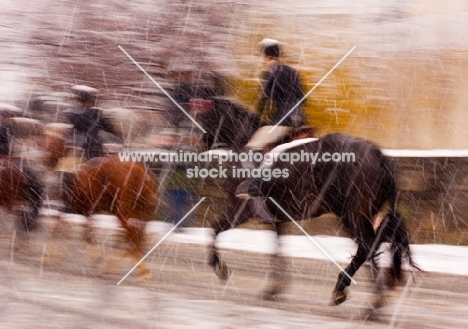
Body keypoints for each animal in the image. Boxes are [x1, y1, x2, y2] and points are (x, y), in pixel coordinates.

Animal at [195, 96, 420, 308]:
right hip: (366, 212)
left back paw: (350, 292)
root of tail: (377, 153)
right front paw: (275, 289)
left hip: (350, 213)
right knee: (378, 241)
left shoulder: (241, 210)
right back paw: (373, 299)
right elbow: (277, 250)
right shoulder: (275, 219)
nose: (196, 144)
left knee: (367, 246)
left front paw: (220, 268)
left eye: (201, 117)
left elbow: (214, 231)